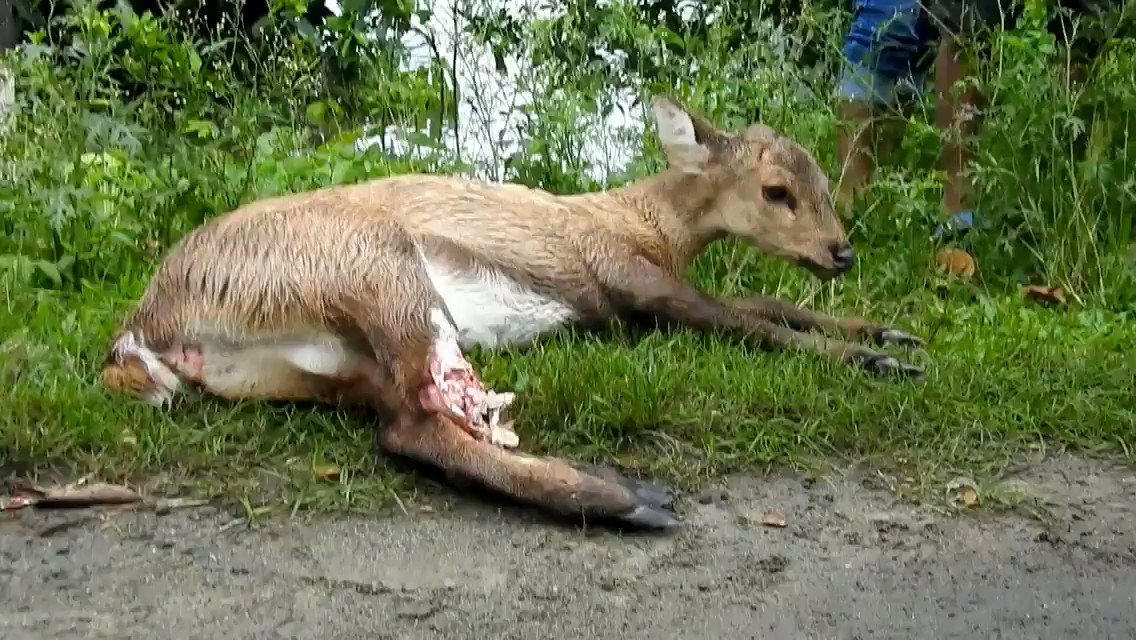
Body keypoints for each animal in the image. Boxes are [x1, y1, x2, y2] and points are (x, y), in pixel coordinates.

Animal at [102, 94, 922, 532]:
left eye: (823, 183)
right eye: (777, 191)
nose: (842, 252)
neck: (643, 223)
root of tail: (150, 326)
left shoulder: (644, 288)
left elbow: (766, 300)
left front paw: (889, 332)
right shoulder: (633, 281)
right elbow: (745, 319)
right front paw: (876, 358)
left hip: (325, 365)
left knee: (405, 424)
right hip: (381, 270)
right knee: (423, 416)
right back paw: (636, 499)